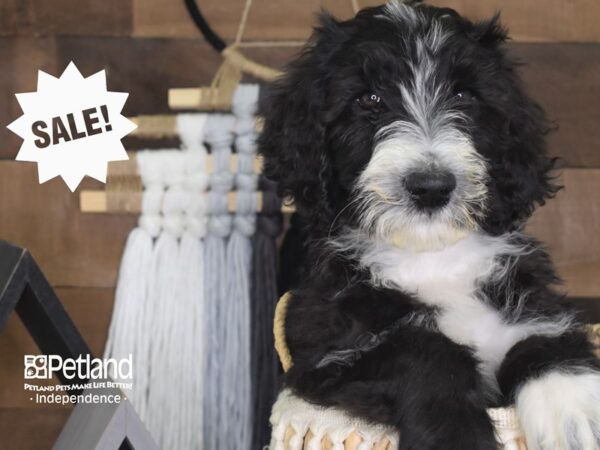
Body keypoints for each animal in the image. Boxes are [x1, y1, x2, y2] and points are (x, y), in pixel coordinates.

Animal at [258, 0, 600, 450]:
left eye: (463, 95)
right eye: (370, 99)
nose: (431, 187)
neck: (431, 255)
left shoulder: (525, 300)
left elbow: (543, 335)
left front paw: (574, 409)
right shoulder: (323, 348)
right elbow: (423, 350)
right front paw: (457, 436)